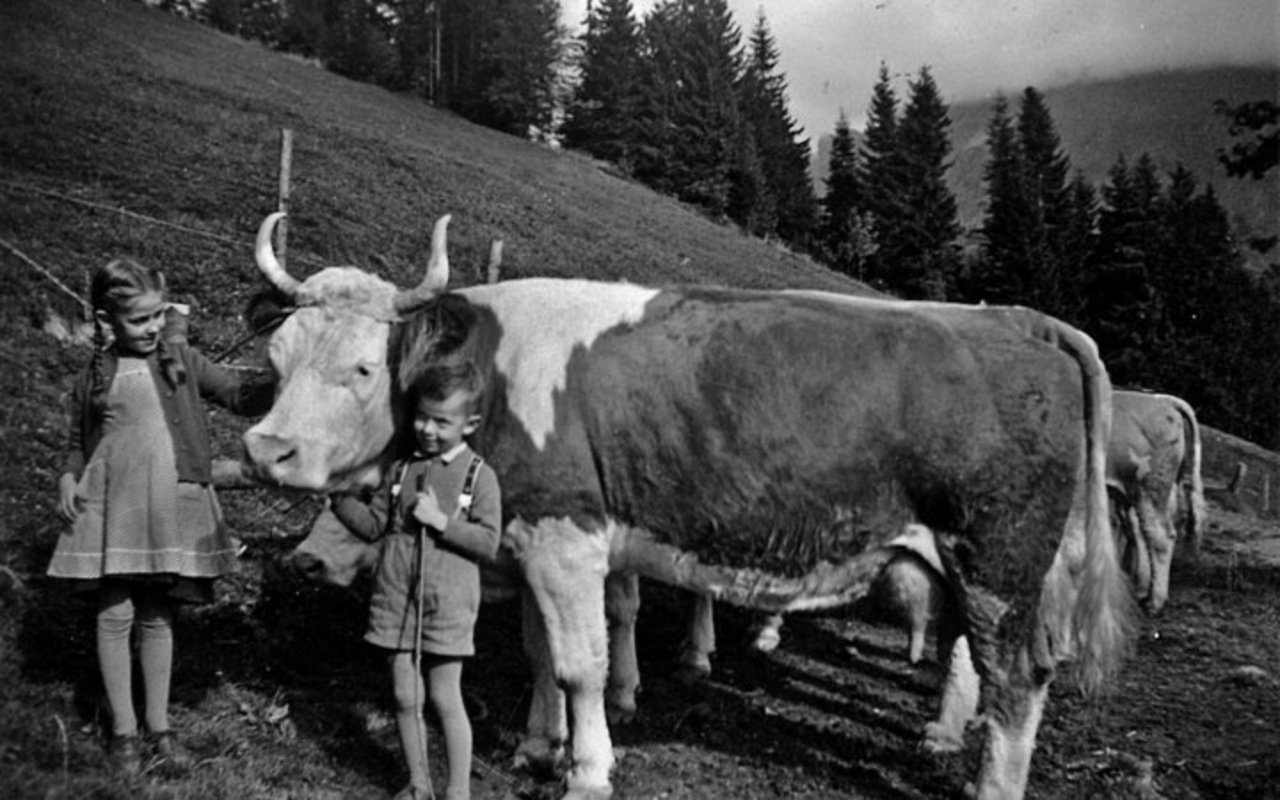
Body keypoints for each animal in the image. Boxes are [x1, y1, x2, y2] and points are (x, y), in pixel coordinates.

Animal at [241, 211, 1131, 798]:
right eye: (277, 355)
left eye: (364, 368)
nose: (265, 449)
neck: (492, 368)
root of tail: (1024, 327)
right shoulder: (530, 537)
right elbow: (539, 653)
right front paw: (538, 744)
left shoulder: (568, 535)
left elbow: (582, 664)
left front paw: (587, 770)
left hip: (998, 565)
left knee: (1016, 680)